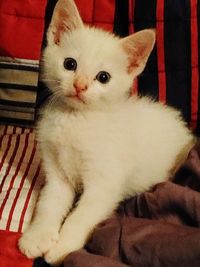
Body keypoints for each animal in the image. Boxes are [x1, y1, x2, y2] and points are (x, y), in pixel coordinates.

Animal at [18, 0, 194, 266]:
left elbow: (82, 215)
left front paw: (64, 246)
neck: (76, 120)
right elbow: (49, 203)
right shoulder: (57, 174)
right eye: (70, 64)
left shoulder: (104, 183)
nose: (80, 85)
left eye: (103, 77)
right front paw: (37, 236)